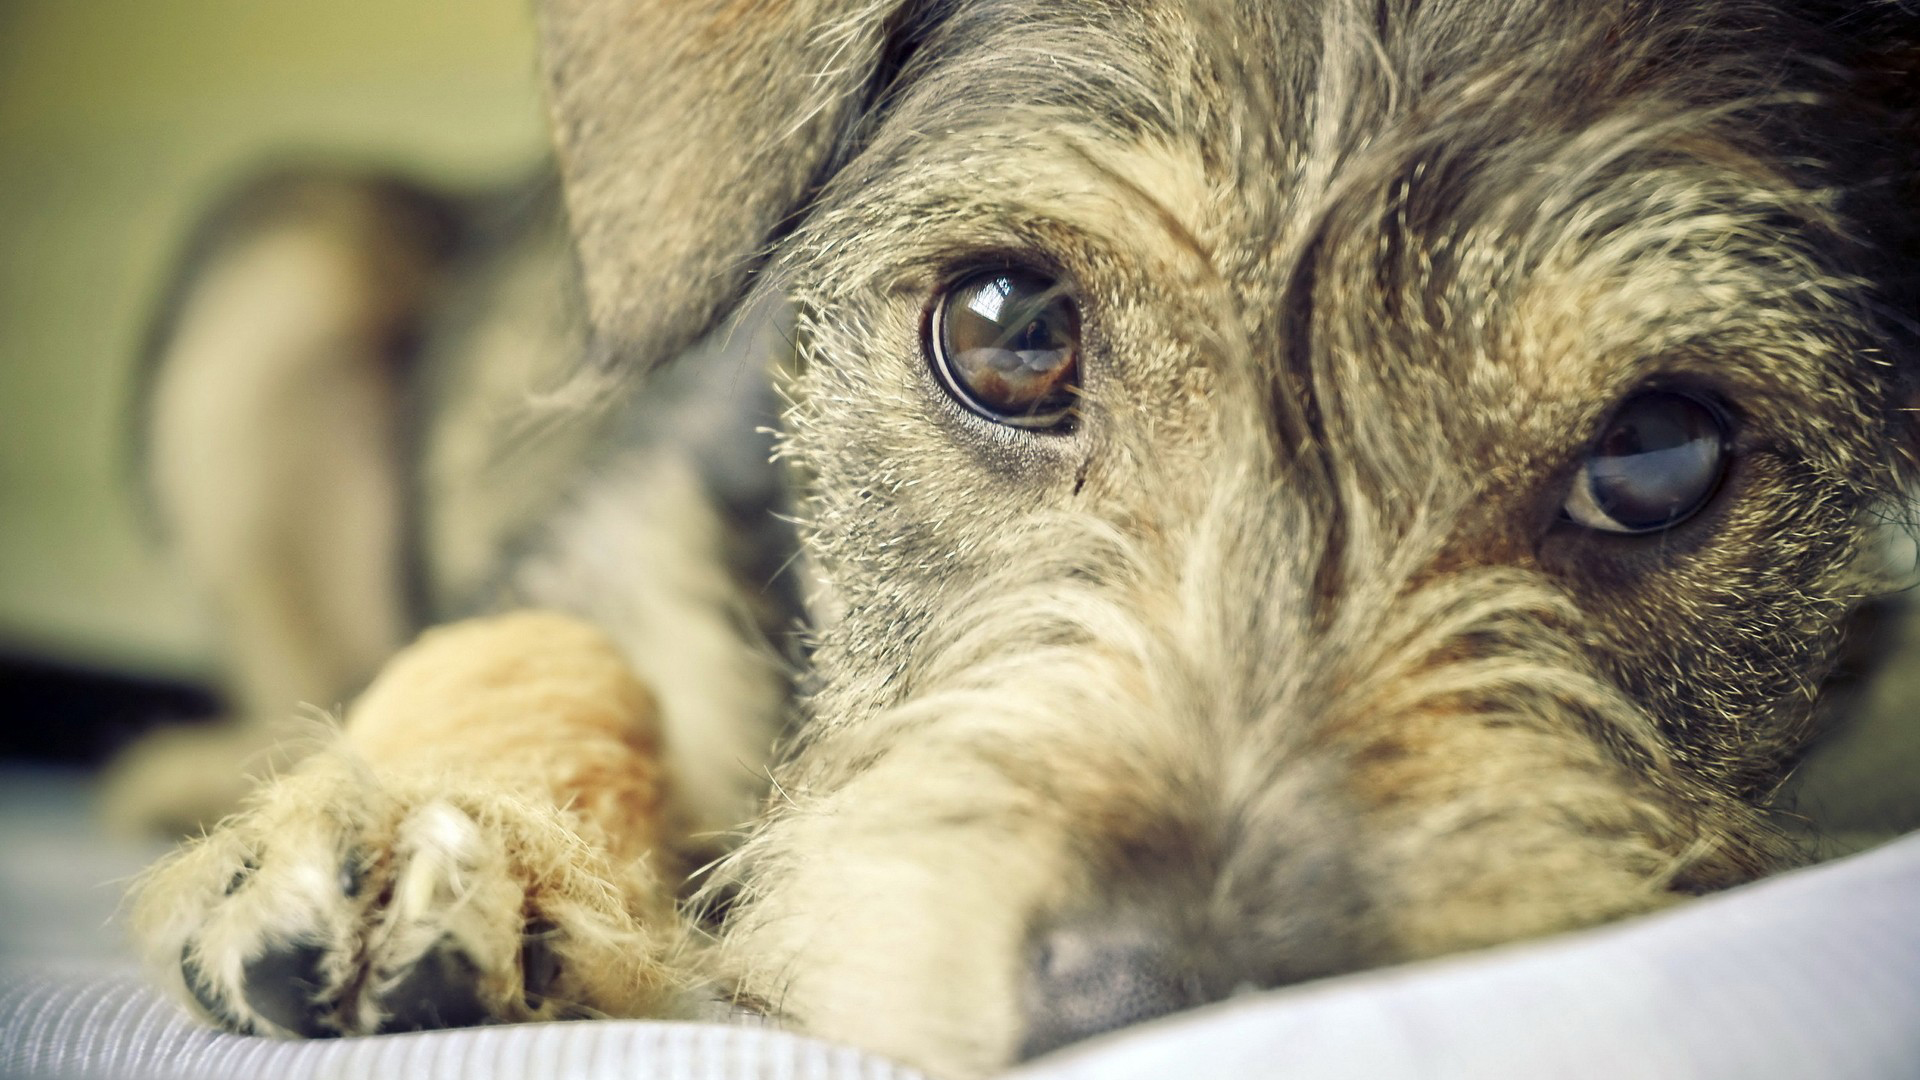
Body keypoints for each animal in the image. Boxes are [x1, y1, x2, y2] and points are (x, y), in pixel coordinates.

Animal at [116, 0, 1920, 1068]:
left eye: (1662, 452)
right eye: (1007, 330)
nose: (1167, 1020)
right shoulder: (628, 536)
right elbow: (529, 635)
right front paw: (430, 835)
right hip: (276, 266)